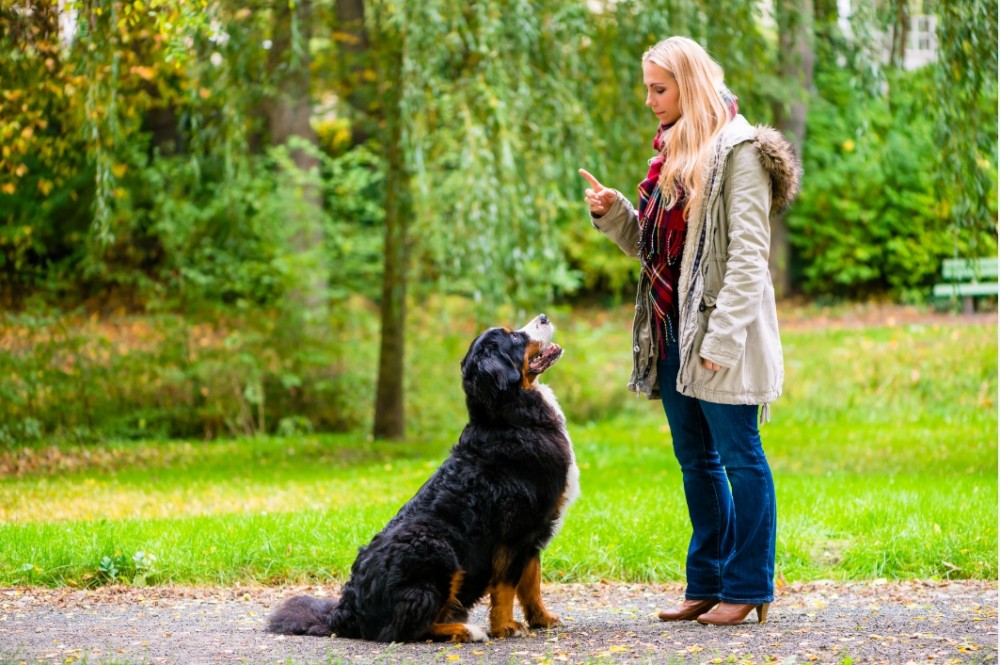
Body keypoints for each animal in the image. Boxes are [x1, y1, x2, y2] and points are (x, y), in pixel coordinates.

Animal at [266, 314, 580, 640]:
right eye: (515, 338)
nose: (543, 317)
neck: (510, 419)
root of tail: (345, 612)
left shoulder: (535, 532)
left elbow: (531, 583)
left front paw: (542, 619)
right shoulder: (516, 531)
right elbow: (506, 585)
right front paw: (505, 627)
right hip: (436, 548)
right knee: (407, 627)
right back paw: (467, 630)